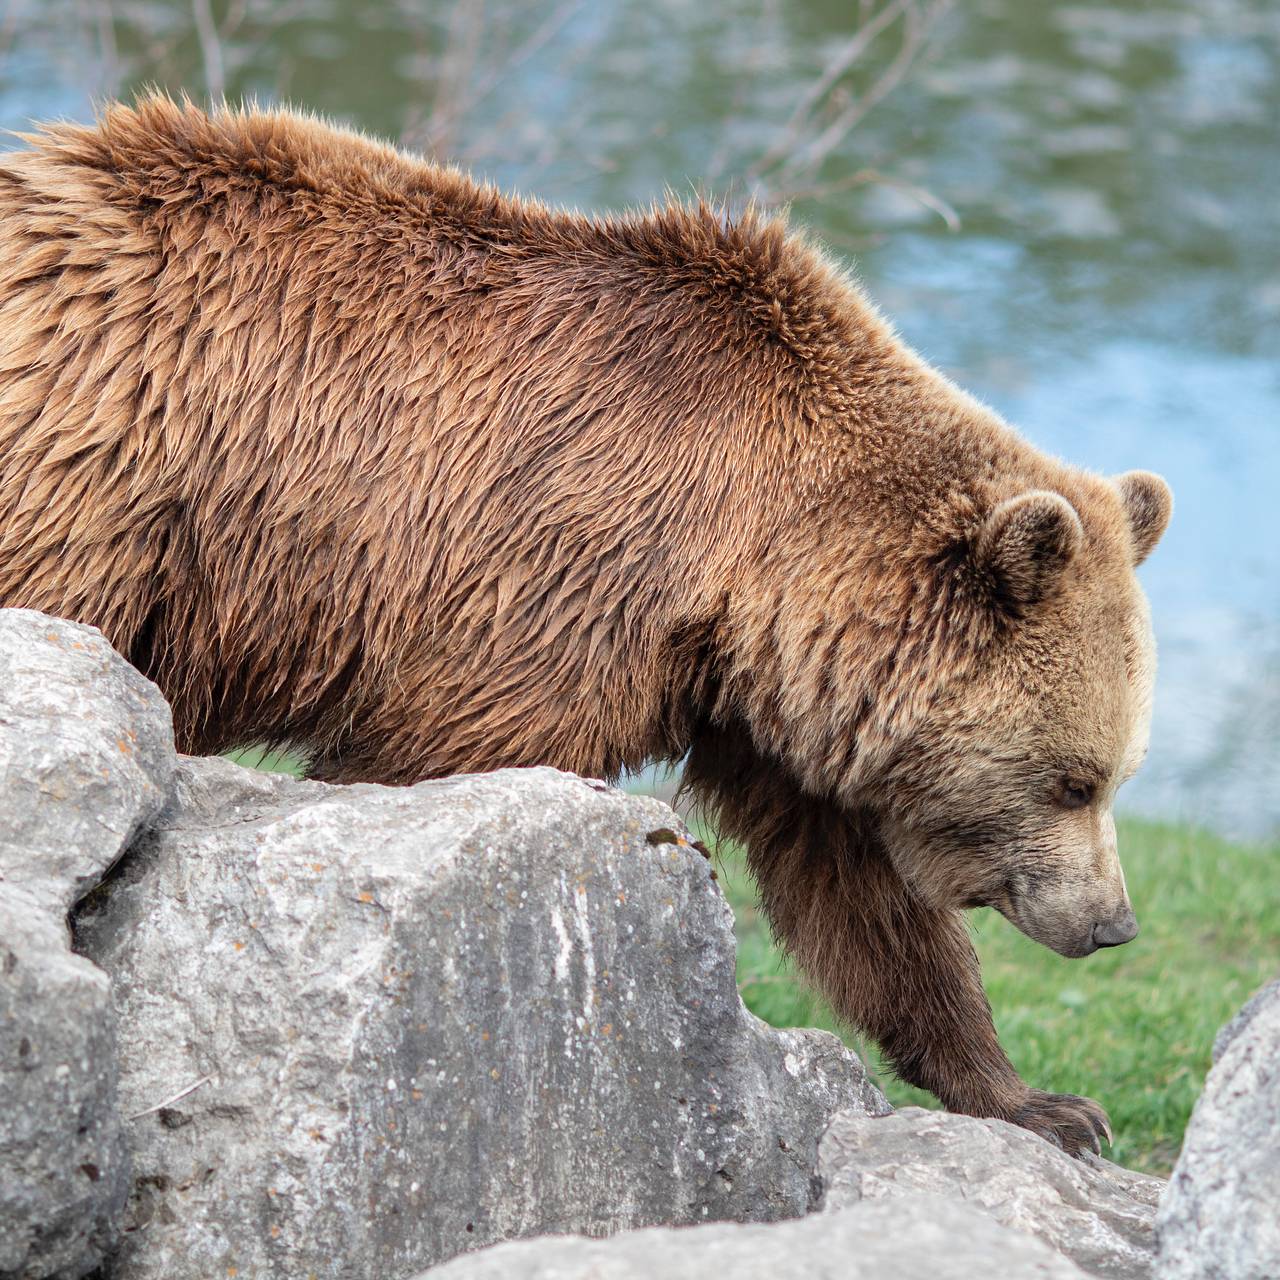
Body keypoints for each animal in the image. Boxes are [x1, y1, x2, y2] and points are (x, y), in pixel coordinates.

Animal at [0, 99, 1172, 1157]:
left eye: (1117, 772)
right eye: (1074, 778)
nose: (1110, 922)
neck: (756, 560)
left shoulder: (772, 712)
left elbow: (866, 901)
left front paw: (1040, 1103)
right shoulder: (559, 585)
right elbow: (437, 765)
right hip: (105, 478)